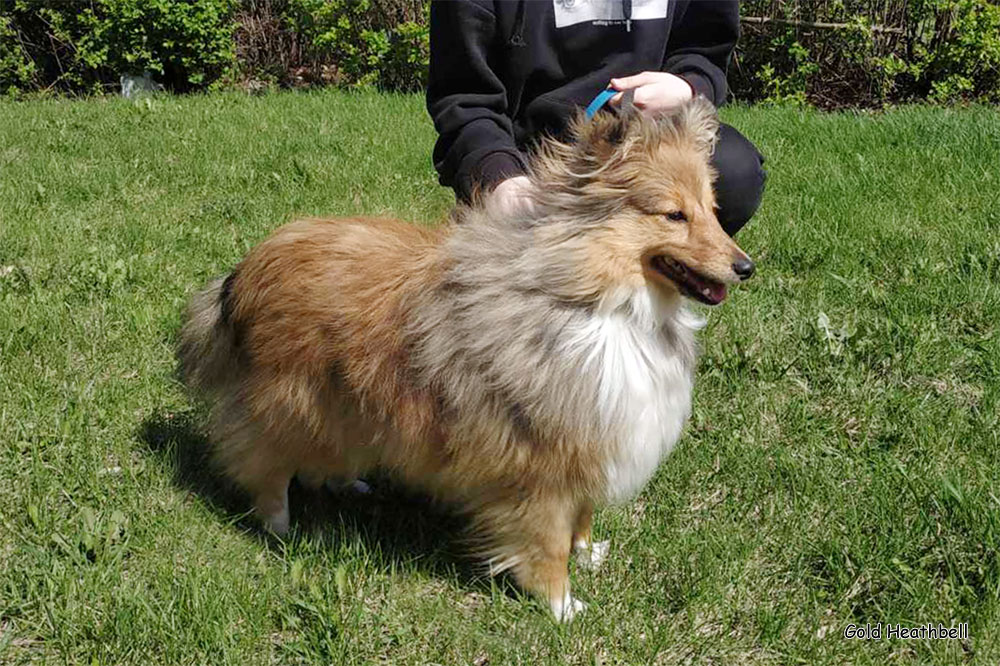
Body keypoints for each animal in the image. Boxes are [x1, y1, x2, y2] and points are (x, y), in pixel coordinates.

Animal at [180, 97, 752, 616]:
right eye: (673, 215)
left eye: (713, 210)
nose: (746, 268)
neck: (597, 300)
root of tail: (247, 268)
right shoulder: (540, 463)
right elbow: (547, 545)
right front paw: (562, 605)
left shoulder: (593, 433)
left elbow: (583, 515)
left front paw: (588, 554)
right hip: (291, 404)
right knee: (265, 466)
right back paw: (280, 528)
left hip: (348, 401)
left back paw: (351, 484)